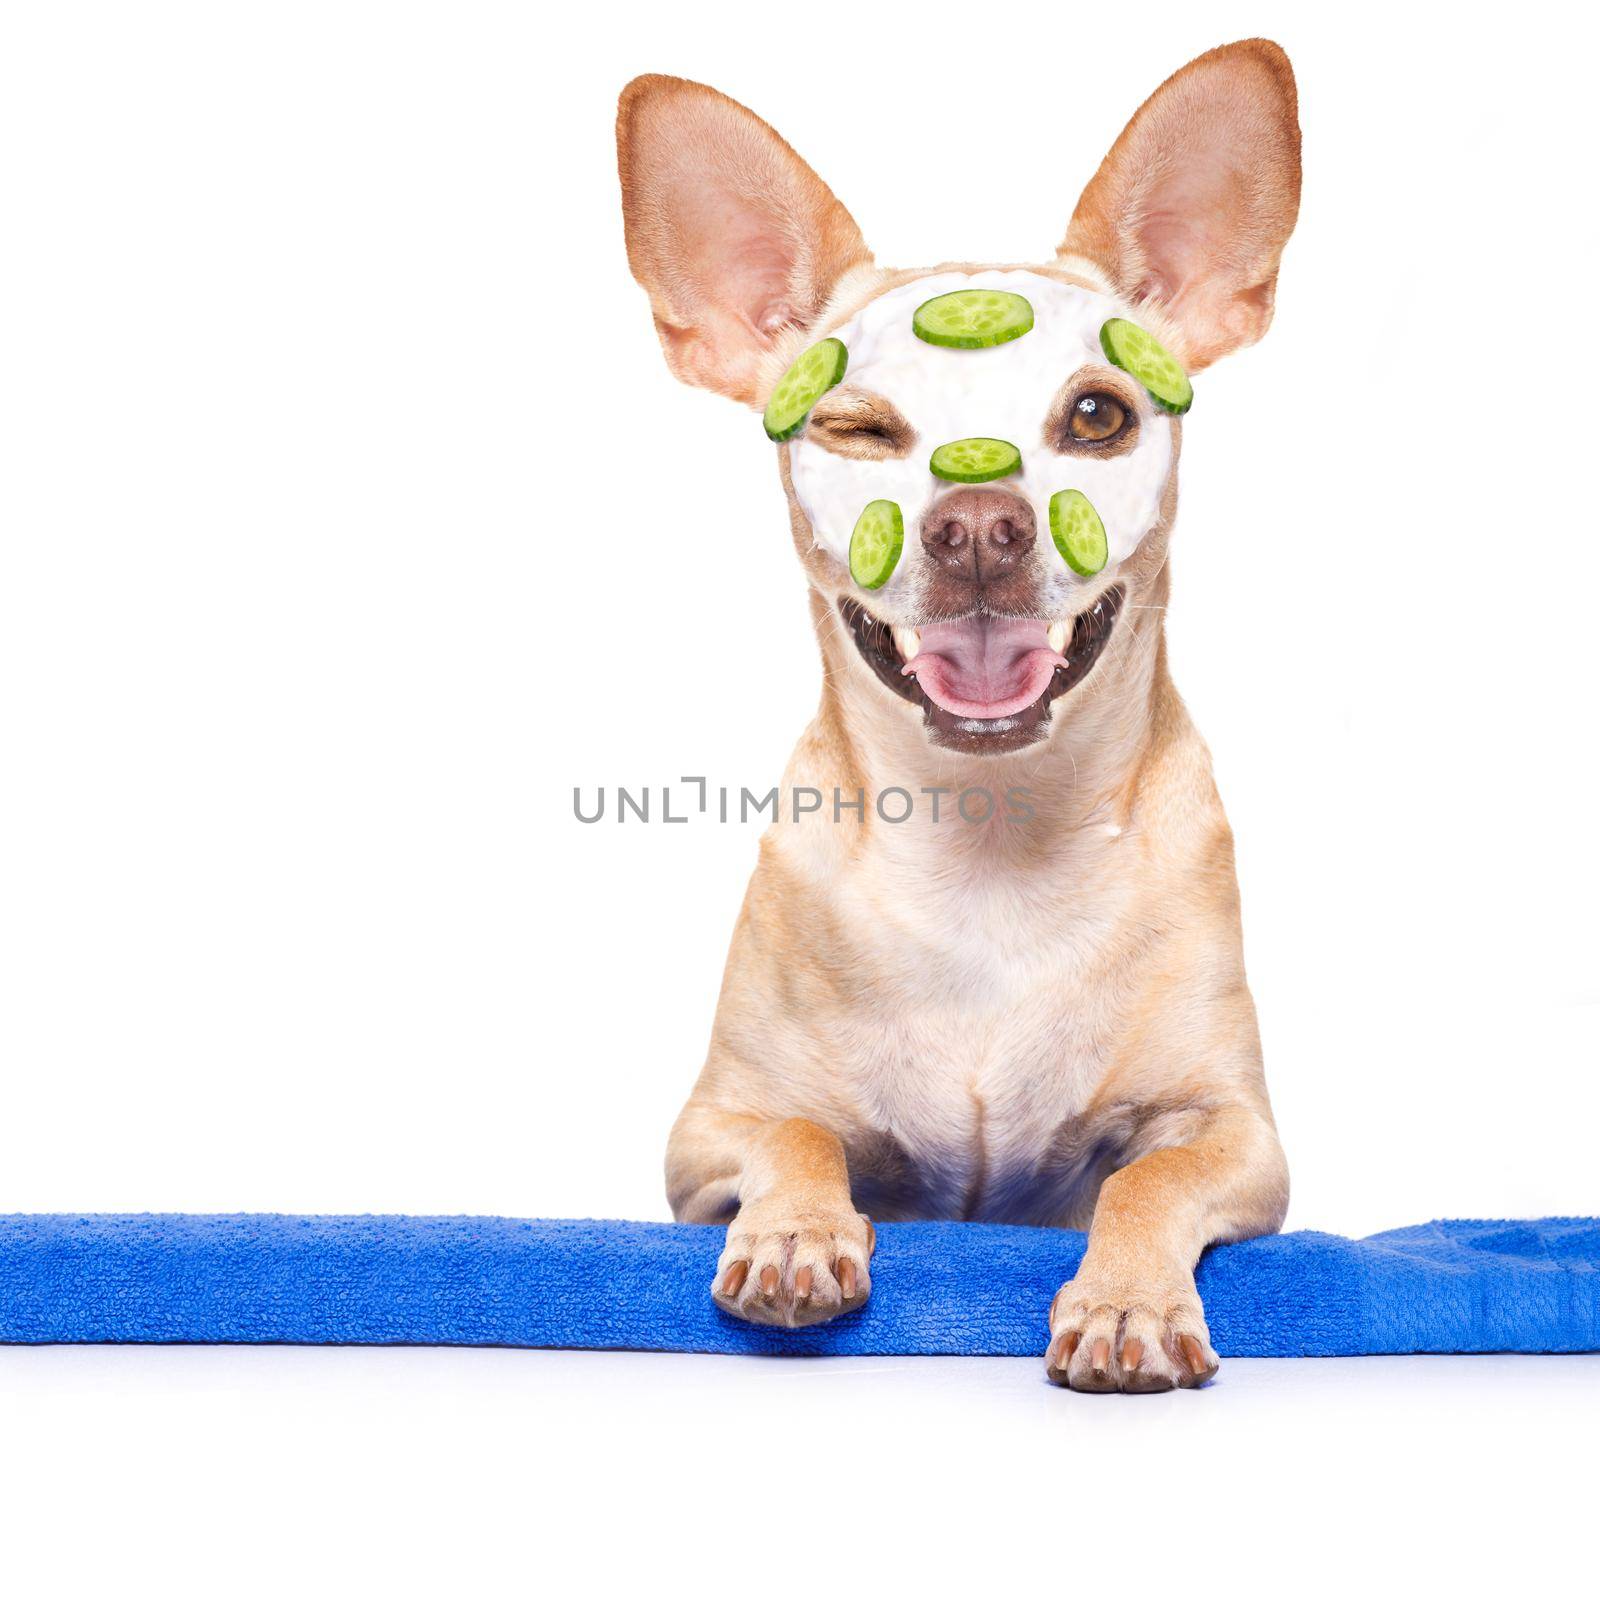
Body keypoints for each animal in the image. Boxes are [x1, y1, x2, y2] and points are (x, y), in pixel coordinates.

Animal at [611, 37, 1299, 1388]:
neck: (991, 842)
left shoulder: (1238, 1133)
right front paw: (796, 1232)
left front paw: (1125, 1302)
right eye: (857, 428)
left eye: (1097, 414)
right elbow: (798, 1133)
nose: (978, 523)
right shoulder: (703, 1134)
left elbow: (1149, 1178)